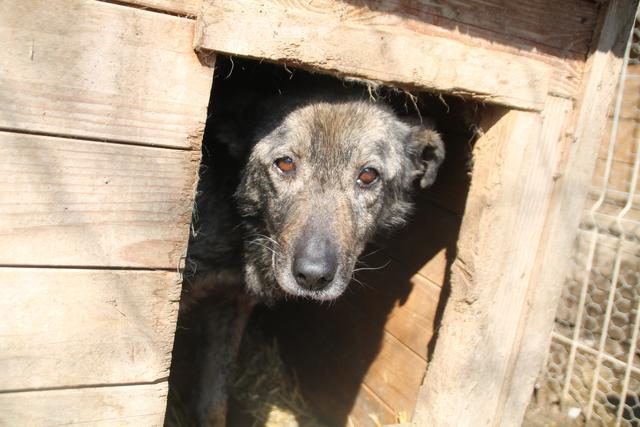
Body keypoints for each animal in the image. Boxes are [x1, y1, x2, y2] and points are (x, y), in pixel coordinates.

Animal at [170, 92, 444, 426]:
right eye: (285, 163)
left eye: (368, 175)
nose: (313, 276)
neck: (241, 226)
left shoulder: (230, 305)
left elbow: (213, 404)